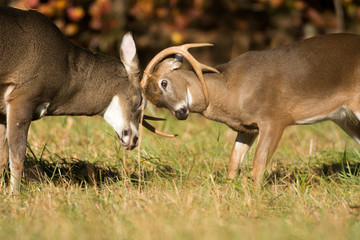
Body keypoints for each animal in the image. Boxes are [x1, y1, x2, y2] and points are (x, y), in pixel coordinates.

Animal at [0, 6, 174, 192]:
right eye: (141, 102)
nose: (134, 141)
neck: (65, 73)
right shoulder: (23, 95)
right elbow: (17, 156)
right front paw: (15, 194)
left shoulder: (2, 113)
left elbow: (2, 158)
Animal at [141, 33, 360, 186]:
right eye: (156, 103)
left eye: (164, 82)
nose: (180, 113)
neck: (230, 90)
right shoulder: (247, 128)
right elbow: (233, 163)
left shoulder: (274, 118)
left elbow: (257, 167)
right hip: (344, 118)